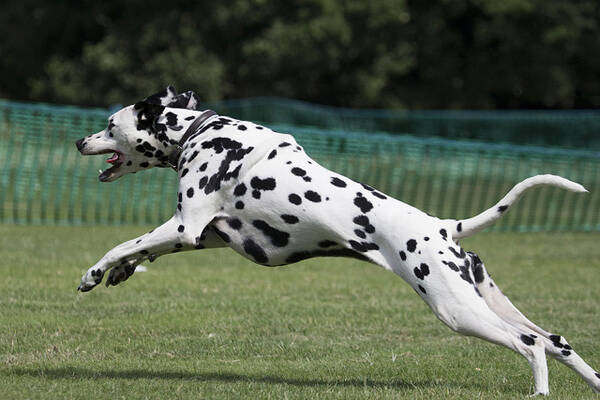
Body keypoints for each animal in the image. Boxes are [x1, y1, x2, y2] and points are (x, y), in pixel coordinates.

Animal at [77, 86, 596, 396]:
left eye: (110, 124)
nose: (81, 141)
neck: (200, 133)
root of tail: (446, 226)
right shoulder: (208, 237)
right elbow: (140, 249)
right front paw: (119, 273)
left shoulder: (185, 226)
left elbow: (121, 244)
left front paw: (93, 273)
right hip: (487, 301)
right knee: (557, 341)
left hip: (459, 311)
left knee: (530, 344)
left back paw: (539, 391)